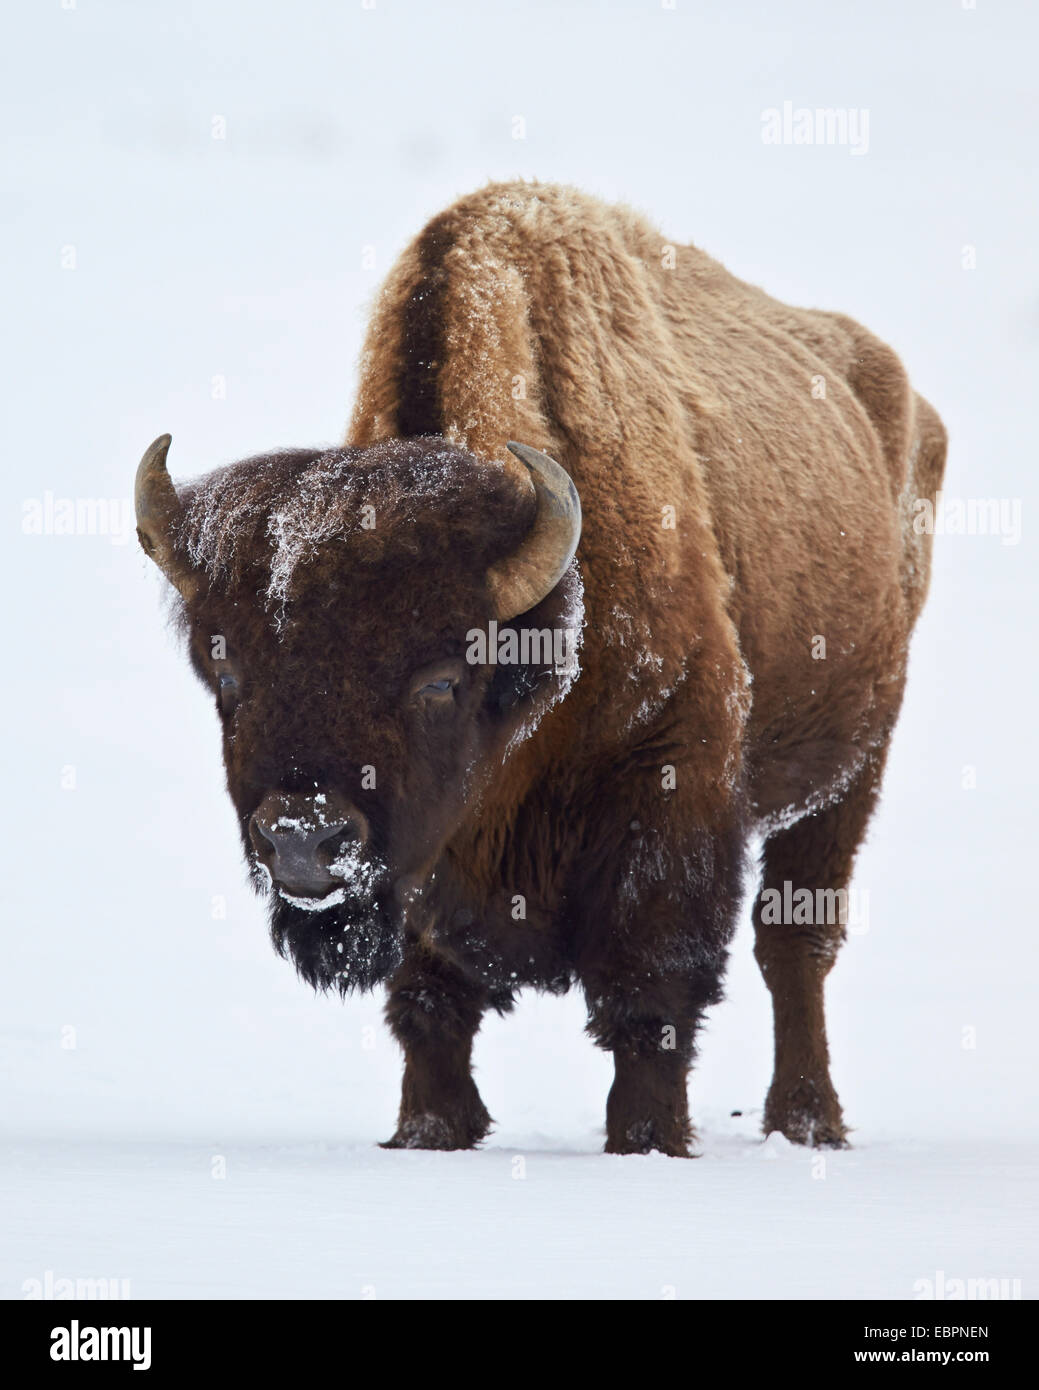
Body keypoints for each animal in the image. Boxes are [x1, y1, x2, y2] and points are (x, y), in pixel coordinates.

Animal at [134, 187, 945, 1162]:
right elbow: (430, 1001)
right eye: (229, 676)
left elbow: (648, 997)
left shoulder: (668, 792)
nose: (302, 837)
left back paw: (808, 1123)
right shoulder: (423, 865)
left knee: (794, 947)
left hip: (848, 773)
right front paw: (430, 1130)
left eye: (440, 681)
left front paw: (646, 1141)